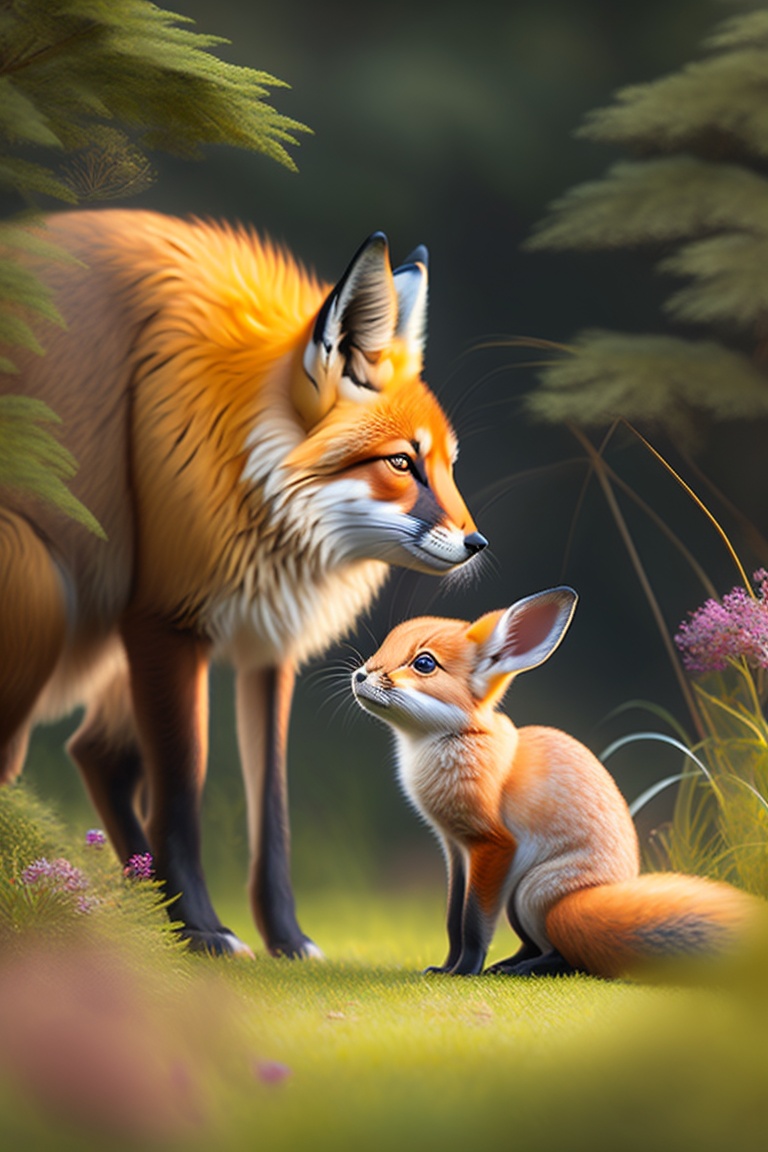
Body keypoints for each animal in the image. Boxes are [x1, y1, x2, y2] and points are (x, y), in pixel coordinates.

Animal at [0, 208, 487, 958]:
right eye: (403, 463)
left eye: (450, 467)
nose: (476, 545)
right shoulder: (167, 622)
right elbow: (180, 794)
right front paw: (200, 929)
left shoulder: (269, 642)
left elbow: (273, 816)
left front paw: (286, 940)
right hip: (46, 590)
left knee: (97, 753)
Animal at [352, 587, 762, 979]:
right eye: (382, 649)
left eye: (423, 663)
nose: (359, 675)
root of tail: (600, 893)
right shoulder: (454, 848)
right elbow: (453, 920)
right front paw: (446, 967)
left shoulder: (492, 844)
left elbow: (473, 924)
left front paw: (465, 970)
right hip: (518, 898)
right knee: (535, 945)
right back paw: (509, 964)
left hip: (530, 891)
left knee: (562, 954)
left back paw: (521, 969)